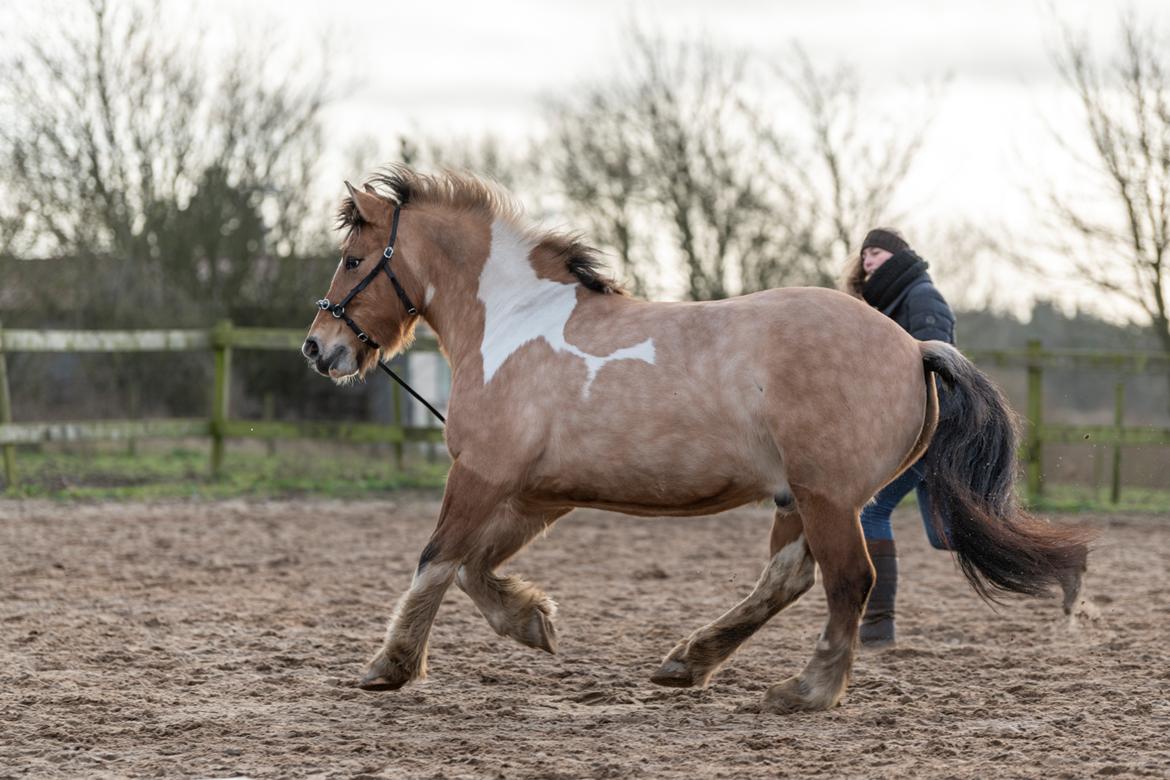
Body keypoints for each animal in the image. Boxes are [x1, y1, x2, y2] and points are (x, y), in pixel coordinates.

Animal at [299, 166, 1085, 715]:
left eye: (351, 259)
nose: (318, 347)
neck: (513, 326)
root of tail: (914, 346)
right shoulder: (537, 493)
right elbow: (471, 566)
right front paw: (532, 622)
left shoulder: (482, 473)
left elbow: (435, 559)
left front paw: (390, 666)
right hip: (801, 498)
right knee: (789, 579)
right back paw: (689, 662)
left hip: (827, 495)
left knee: (848, 582)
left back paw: (805, 692)